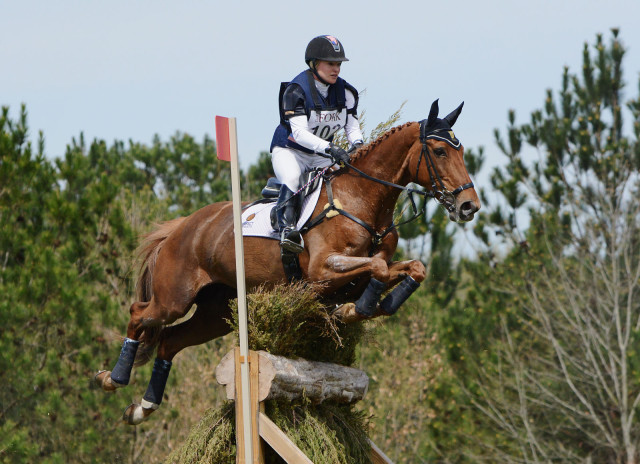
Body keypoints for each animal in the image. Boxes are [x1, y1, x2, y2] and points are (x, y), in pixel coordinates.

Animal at [95, 99, 480, 424]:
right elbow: (379, 270)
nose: (469, 206)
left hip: (214, 313)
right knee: (139, 314)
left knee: (169, 342)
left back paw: (142, 408)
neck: (361, 199)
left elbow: (411, 268)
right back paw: (112, 379)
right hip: (173, 298)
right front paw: (355, 310)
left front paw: (366, 306)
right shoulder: (323, 270)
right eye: (440, 151)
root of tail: (181, 227)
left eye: (461, 151)